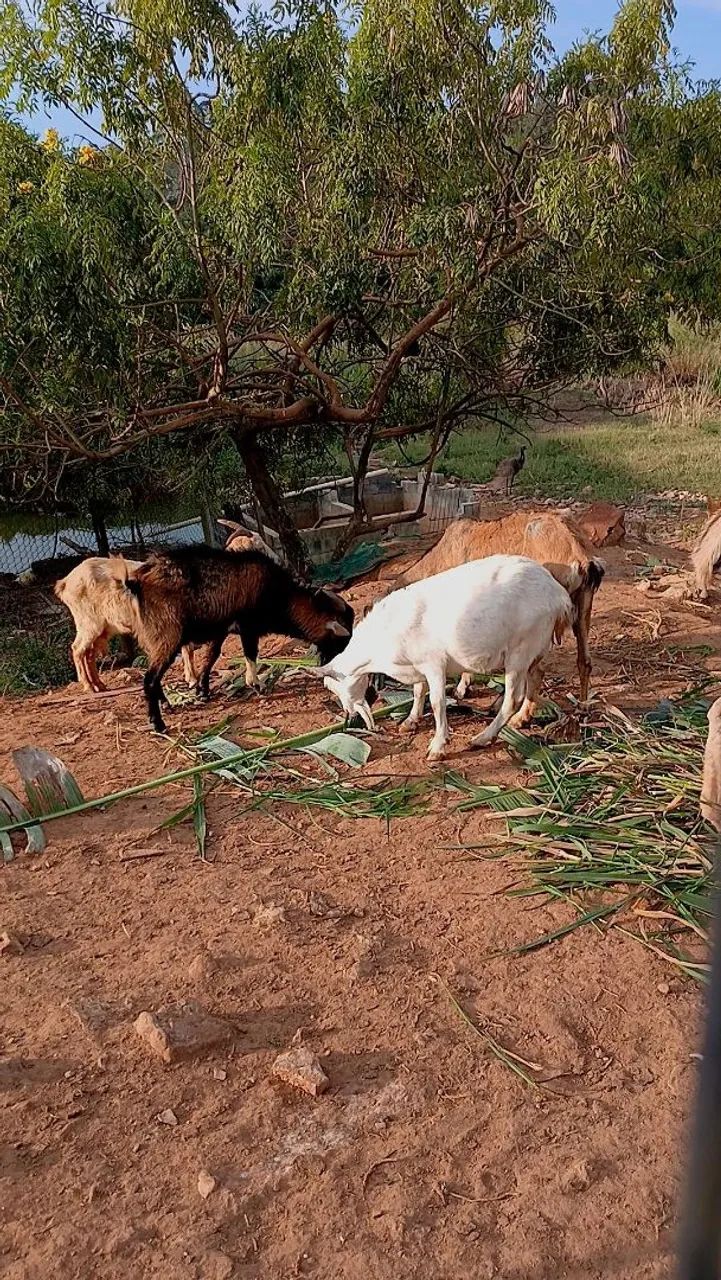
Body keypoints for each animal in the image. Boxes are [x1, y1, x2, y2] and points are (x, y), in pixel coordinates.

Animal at [54, 557, 197, 693]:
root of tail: (65, 583)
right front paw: (192, 680)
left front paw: (191, 679)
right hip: (88, 623)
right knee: (77, 649)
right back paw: (89, 687)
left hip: (103, 629)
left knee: (89, 653)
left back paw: (99, 686)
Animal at [123, 545, 354, 733]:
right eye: (341, 641)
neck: (280, 594)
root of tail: (137, 581)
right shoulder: (247, 627)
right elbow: (250, 653)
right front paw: (256, 684)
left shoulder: (221, 629)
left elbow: (212, 656)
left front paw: (203, 691)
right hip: (168, 636)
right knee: (150, 678)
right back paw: (158, 723)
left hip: (154, 639)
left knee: (155, 675)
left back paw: (166, 704)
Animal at [313, 555, 573, 761]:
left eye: (336, 687)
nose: (351, 715)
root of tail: (558, 593)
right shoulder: (417, 665)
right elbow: (419, 691)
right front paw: (411, 721)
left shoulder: (434, 664)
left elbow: (437, 702)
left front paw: (438, 747)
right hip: (536, 646)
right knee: (537, 675)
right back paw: (521, 718)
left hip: (521, 648)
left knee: (512, 697)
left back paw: (482, 738)